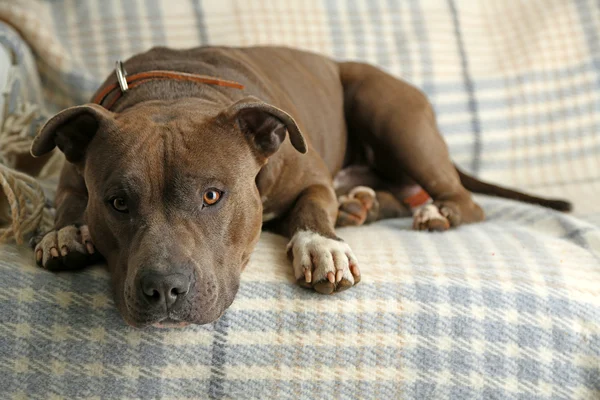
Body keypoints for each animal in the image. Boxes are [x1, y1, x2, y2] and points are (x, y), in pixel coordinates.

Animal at [29, 46, 572, 328]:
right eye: (118, 202)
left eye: (212, 196)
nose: (164, 288)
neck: (176, 93)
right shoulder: (72, 169)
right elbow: (68, 201)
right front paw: (64, 233)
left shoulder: (311, 177)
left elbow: (313, 209)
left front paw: (321, 247)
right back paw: (360, 205)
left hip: (388, 109)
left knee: (462, 199)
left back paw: (433, 212)